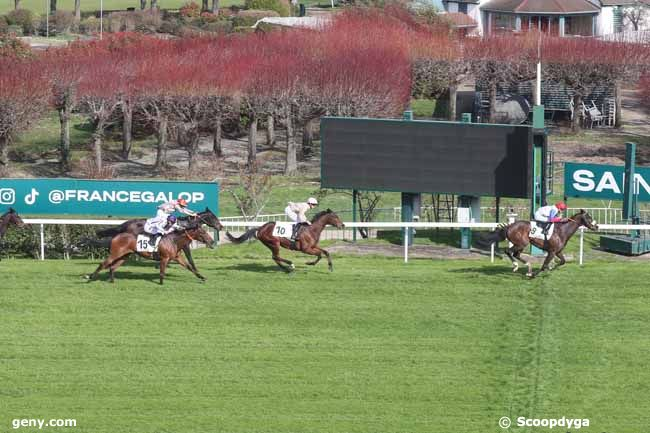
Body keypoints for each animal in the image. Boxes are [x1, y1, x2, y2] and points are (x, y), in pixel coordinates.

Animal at [86, 224, 215, 286]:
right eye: (203, 232)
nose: (212, 241)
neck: (173, 240)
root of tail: (115, 237)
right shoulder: (164, 258)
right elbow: (162, 271)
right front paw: (161, 283)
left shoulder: (177, 257)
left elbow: (189, 267)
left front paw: (202, 278)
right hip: (115, 253)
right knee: (103, 264)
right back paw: (89, 277)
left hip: (124, 256)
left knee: (112, 267)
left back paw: (112, 281)